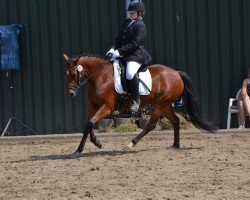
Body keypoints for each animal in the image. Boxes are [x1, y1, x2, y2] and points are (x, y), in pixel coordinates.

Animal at [63, 54, 216, 157]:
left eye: (73, 73)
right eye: (66, 74)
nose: (71, 93)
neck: (100, 76)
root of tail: (176, 73)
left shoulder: (107, 107)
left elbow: (90, 122)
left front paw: (83, 148)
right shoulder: (93, 106)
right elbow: (88, 124)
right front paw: (91, 145)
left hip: (160, 104)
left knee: (151, 125)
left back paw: (132, 143)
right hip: (165, 105)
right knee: (176, 121)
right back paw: (175, 146)